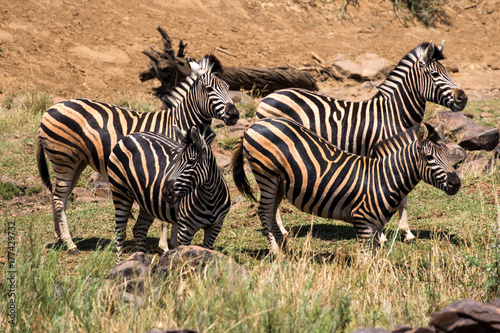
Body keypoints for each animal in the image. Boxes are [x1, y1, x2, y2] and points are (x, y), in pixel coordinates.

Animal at [108, 126, 229, 258]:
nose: (165, 192)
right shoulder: (185, 230)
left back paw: (141, 258)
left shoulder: (215, 228)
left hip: (148, 202)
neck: (210, 199)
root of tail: (130, 135)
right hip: (120, 192)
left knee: (139, 229)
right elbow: (184, 258)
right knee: (120, 234)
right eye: (176, 161)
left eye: (191, 162)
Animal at [232, 117, 462, 254]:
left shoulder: (374, 225)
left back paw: (285, 249)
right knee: (264, 212)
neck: (383, 177)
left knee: (271, 212)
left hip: (279, 182)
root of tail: (255, 123)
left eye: (447, 154)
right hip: (266, 175)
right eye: (429, 157)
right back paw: (276, 253)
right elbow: (365, 263)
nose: (456, 183)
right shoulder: (362, 223)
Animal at [254, 40, 468, 241]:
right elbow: (393, 193)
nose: (463, 98)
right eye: (435, 74)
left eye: (447, 72)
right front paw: (385, 234)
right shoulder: (386, 154)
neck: (393, 114)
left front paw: (404, 232)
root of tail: (268, 97)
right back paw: (281, 230)